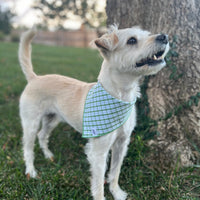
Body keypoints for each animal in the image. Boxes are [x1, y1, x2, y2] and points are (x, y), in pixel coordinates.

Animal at [18, 25, 169, 200]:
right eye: (131, 40)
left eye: (147, 34)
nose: (164, 37)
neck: (120, 95)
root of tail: (35, 78)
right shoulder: (98, 151)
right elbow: (98, 183)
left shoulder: (121, 143)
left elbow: (115, 172)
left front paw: (116, 192)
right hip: (30, 123)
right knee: (28, 148)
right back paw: (31, 171)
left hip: (52, 119)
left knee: (42, 135)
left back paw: (48, 155)